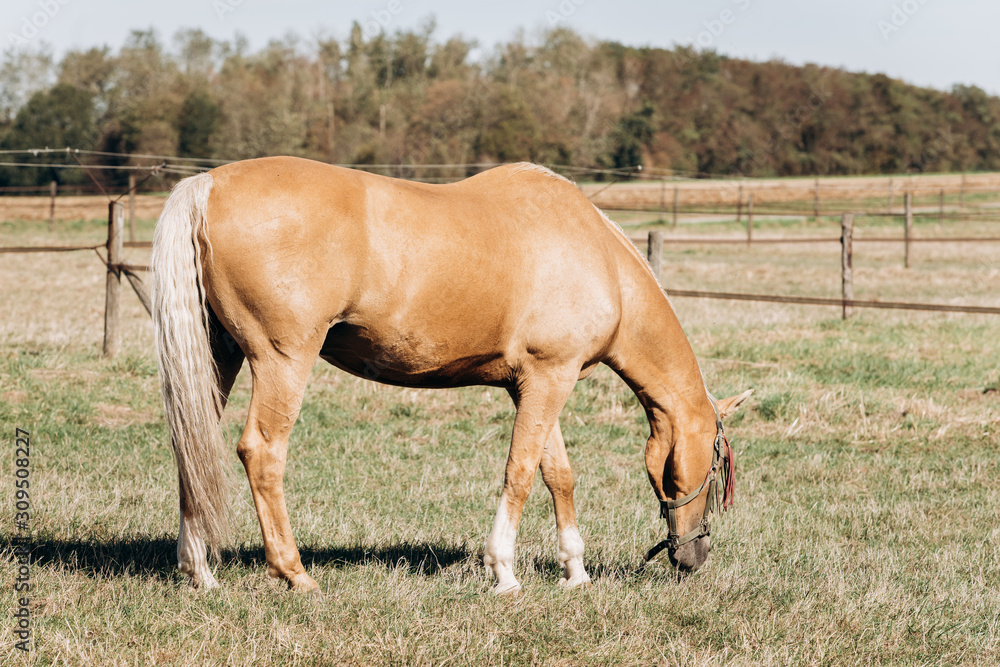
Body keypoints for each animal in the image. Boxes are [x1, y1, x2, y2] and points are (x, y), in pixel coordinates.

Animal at [151, 156, 752, 594]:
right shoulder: (548, 380)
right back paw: (295, 574)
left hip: (218, 358)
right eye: (718, 464)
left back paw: (200, 572)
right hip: (283, 360)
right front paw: (504, 572)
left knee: (193, 448)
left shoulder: (537, 383)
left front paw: (574, 572)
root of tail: (208, 184)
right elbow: (520, 472)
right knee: (261, 452)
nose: (694, 556)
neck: (599, 256)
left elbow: (556, 473)